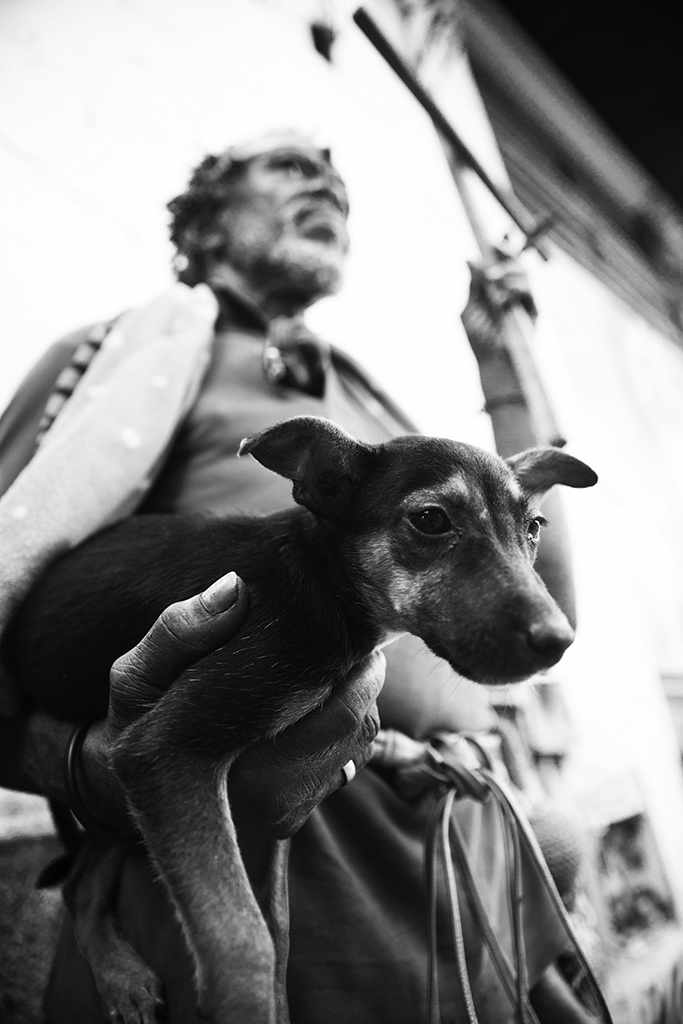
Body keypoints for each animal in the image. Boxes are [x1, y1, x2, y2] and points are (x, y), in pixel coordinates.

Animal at [9, 415, 598, 1024]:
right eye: (431, 520)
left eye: (534, 527)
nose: (558, 641)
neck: (326, 584)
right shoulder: (164, 749)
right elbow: (242, 943)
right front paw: (243, 1006)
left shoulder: (267, 818)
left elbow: (276, 930)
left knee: (81, 881)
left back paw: (120, 977)